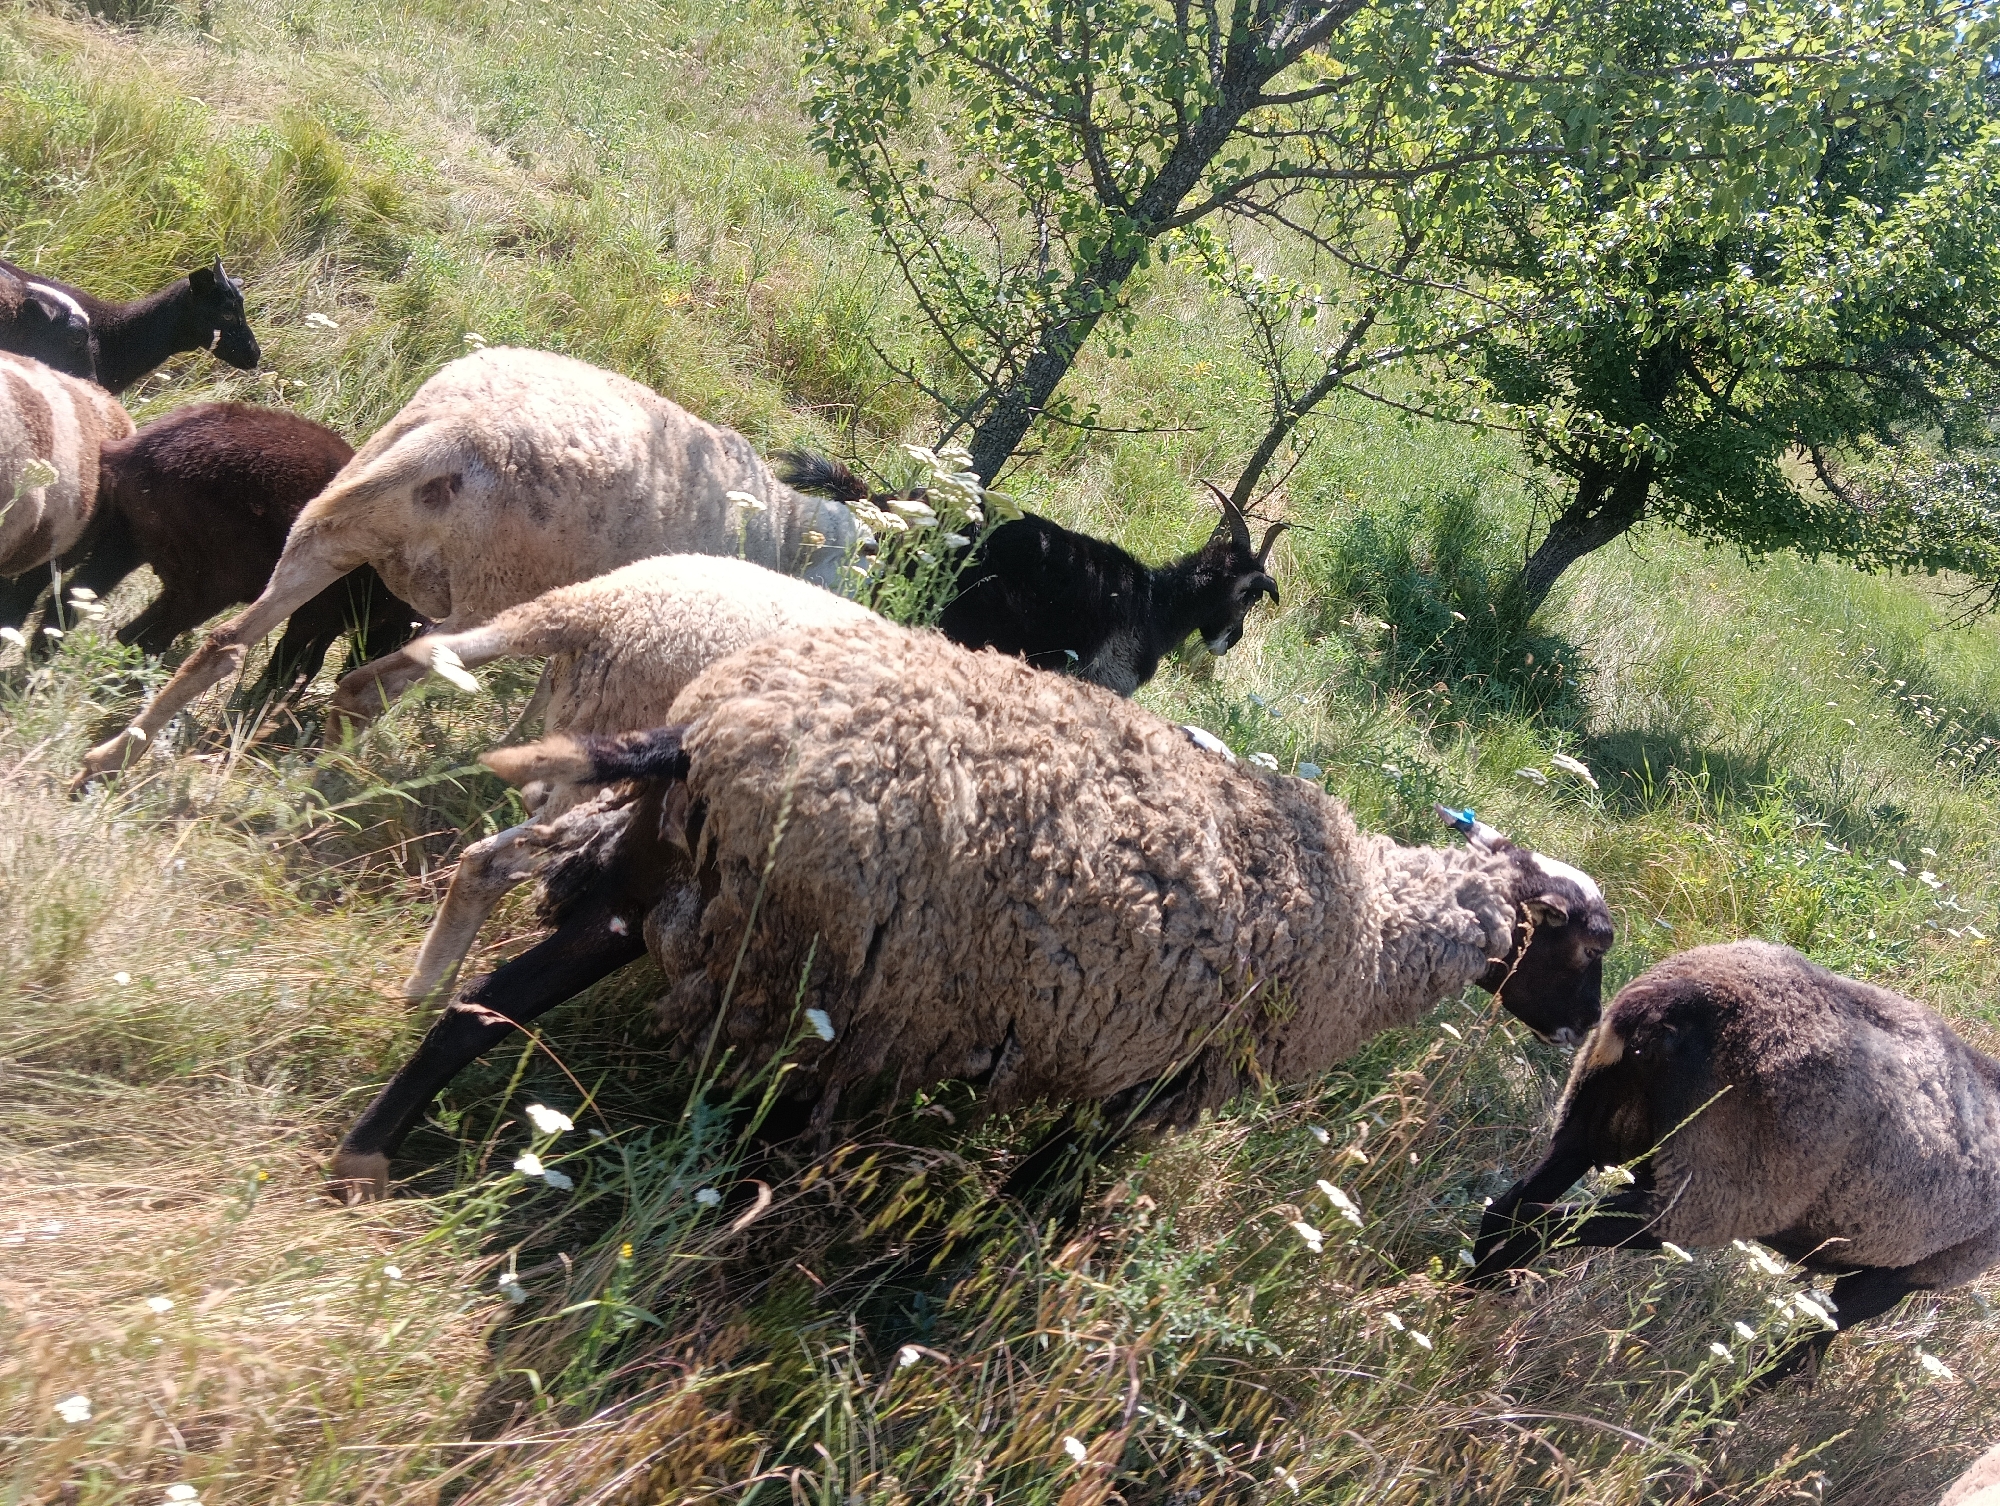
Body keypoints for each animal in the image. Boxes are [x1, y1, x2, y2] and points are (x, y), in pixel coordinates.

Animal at [73, 346, 869, 785]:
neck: (786, 530)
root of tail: (454, 436)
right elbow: (542, 701)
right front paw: (513, 753)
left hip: (329, 536)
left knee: (223, 645)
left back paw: (111, 757)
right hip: (481, 595)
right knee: (366, 687)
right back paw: (316, 786)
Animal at [328, 616, 1613, 1199]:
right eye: (1585, 944)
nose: (1572, 1036)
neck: (1369, 925)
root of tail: (701, 731)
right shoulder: (1153, 1085)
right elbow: (1040, 1199)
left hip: (659, 885)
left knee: (487, 1009)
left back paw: (365, 1155)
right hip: (822, 975)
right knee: (746, 1119)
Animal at [1469, 939, 2000, 1384]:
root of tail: (1674, 1003)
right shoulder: (1902, 1275)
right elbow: (1795, 1354)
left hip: (1588, 1120)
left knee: (1508, 1210)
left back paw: (1469, 1300)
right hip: (1706, 1197)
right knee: (1540, 1222)